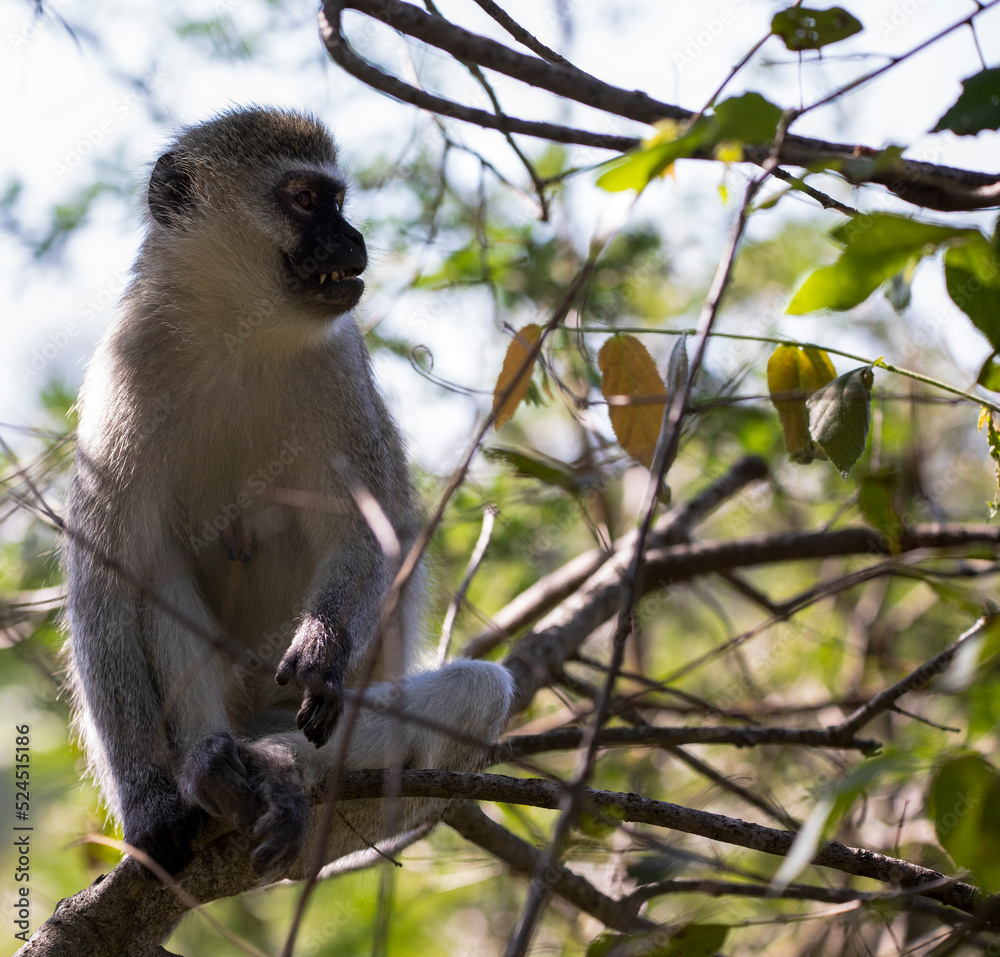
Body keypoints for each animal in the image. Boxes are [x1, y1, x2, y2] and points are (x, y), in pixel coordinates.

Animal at [63, 106, 514, 881]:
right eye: (305, 200)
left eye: (338, 200)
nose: (353, 238)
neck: (238, 333)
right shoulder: (124, 372)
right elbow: (106, 585)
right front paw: (148, 802)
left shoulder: (340, 366)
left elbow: (370, 532)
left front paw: (321, 648)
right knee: (155, 574)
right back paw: (217, 772)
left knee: (477, 696)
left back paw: (279, 767)